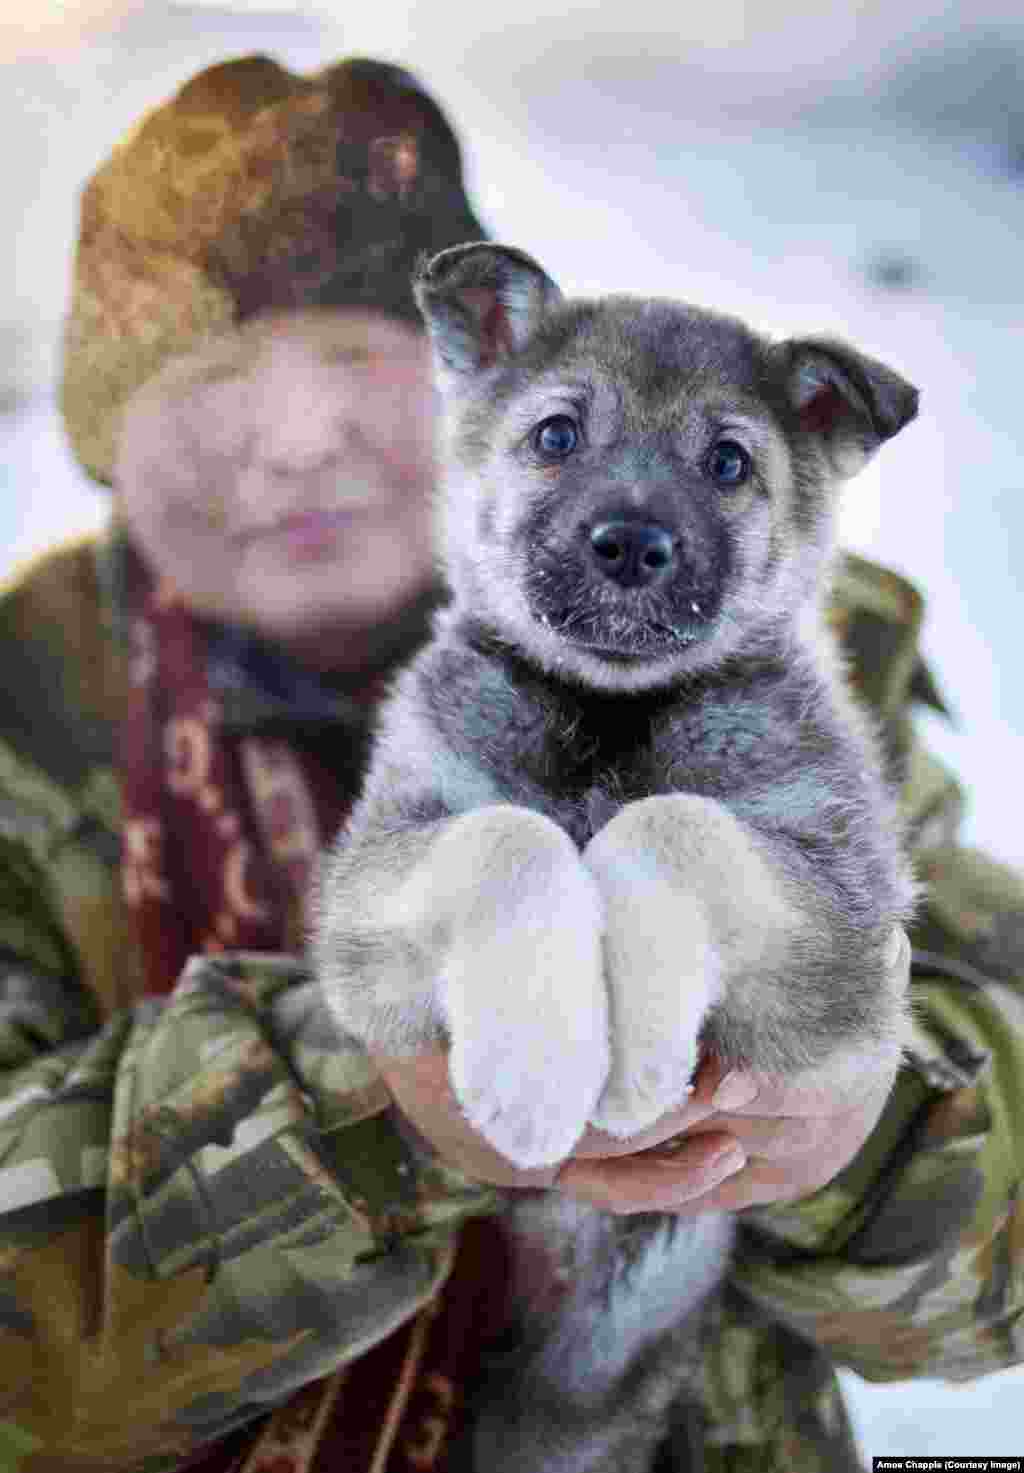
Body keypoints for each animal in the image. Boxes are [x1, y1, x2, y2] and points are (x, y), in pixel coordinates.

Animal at [313, 244, 919, 1473]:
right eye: (556, 435)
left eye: (728, 462)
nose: (633, 546)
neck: (610, 714)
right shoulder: (372, 888)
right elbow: (509, 835)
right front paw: (535, 1074)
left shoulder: (845, 928)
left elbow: (680, 825)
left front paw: (635, 1049)